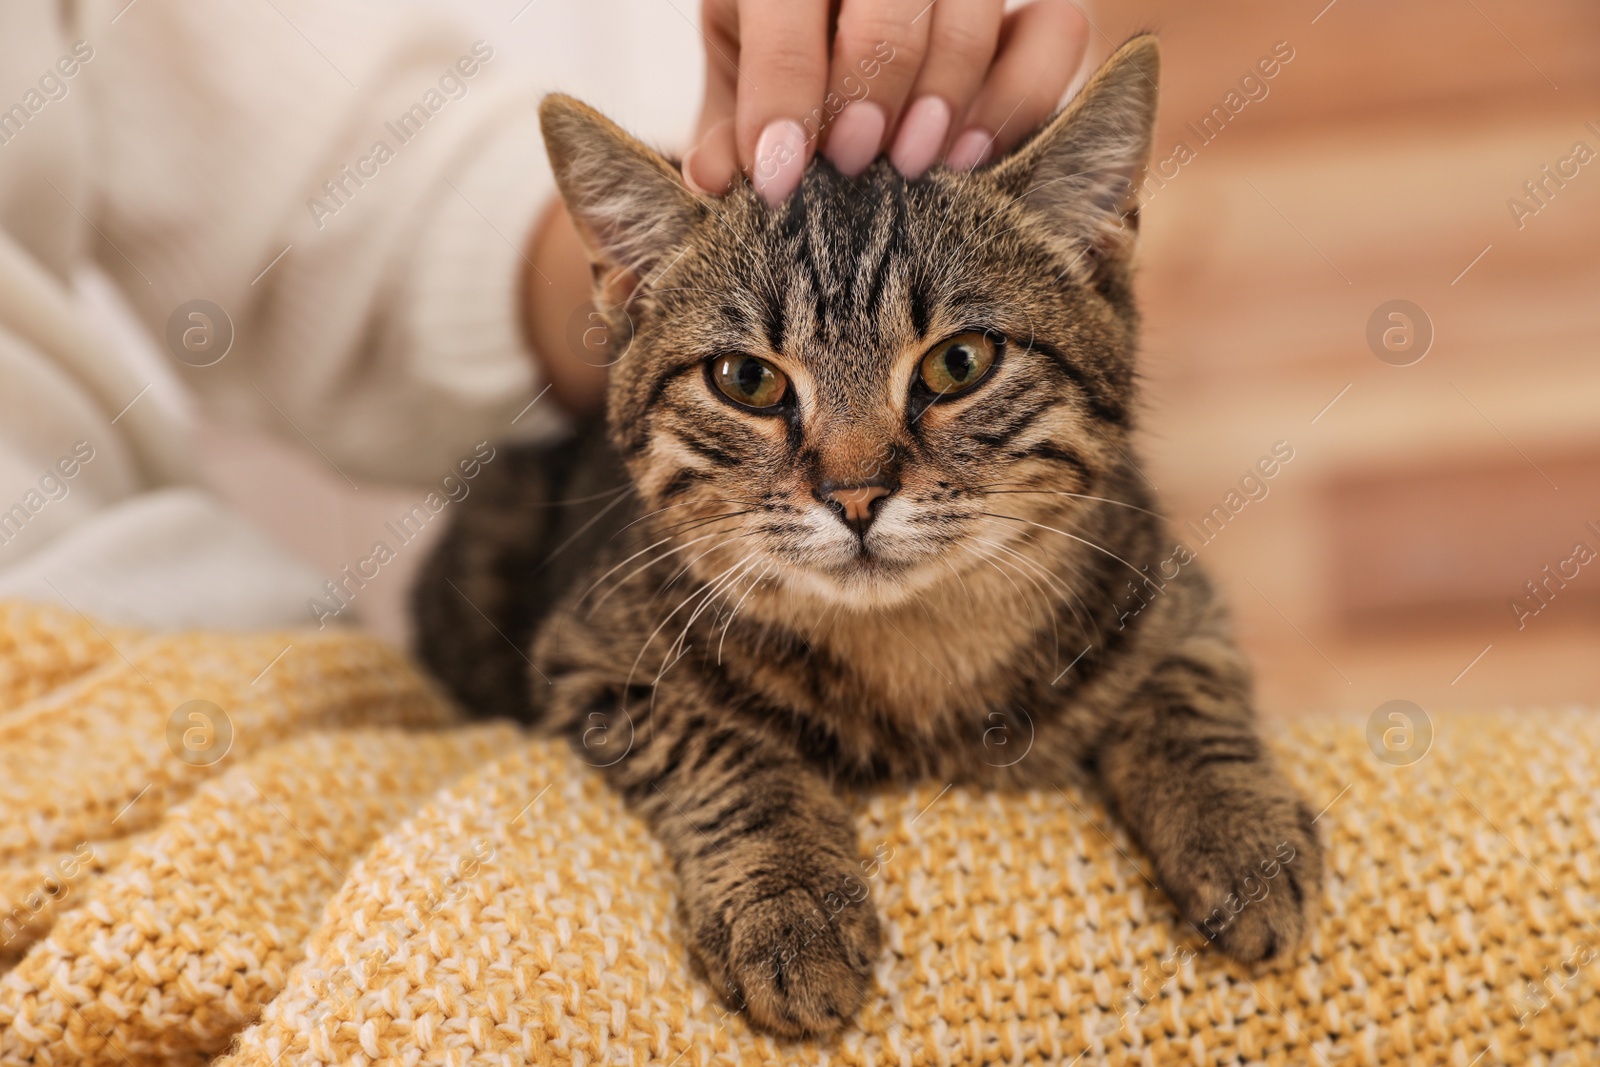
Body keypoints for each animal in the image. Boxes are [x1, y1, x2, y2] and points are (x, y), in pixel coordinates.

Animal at [412, 37, 1324, 1036]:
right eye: (747, 380)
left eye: (959, 362)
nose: (854, 494)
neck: (912, 653)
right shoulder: (592, 659)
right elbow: (731, 755)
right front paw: (789, 903)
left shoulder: (1173, 590)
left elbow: (1185, 695)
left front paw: (1242, 835)